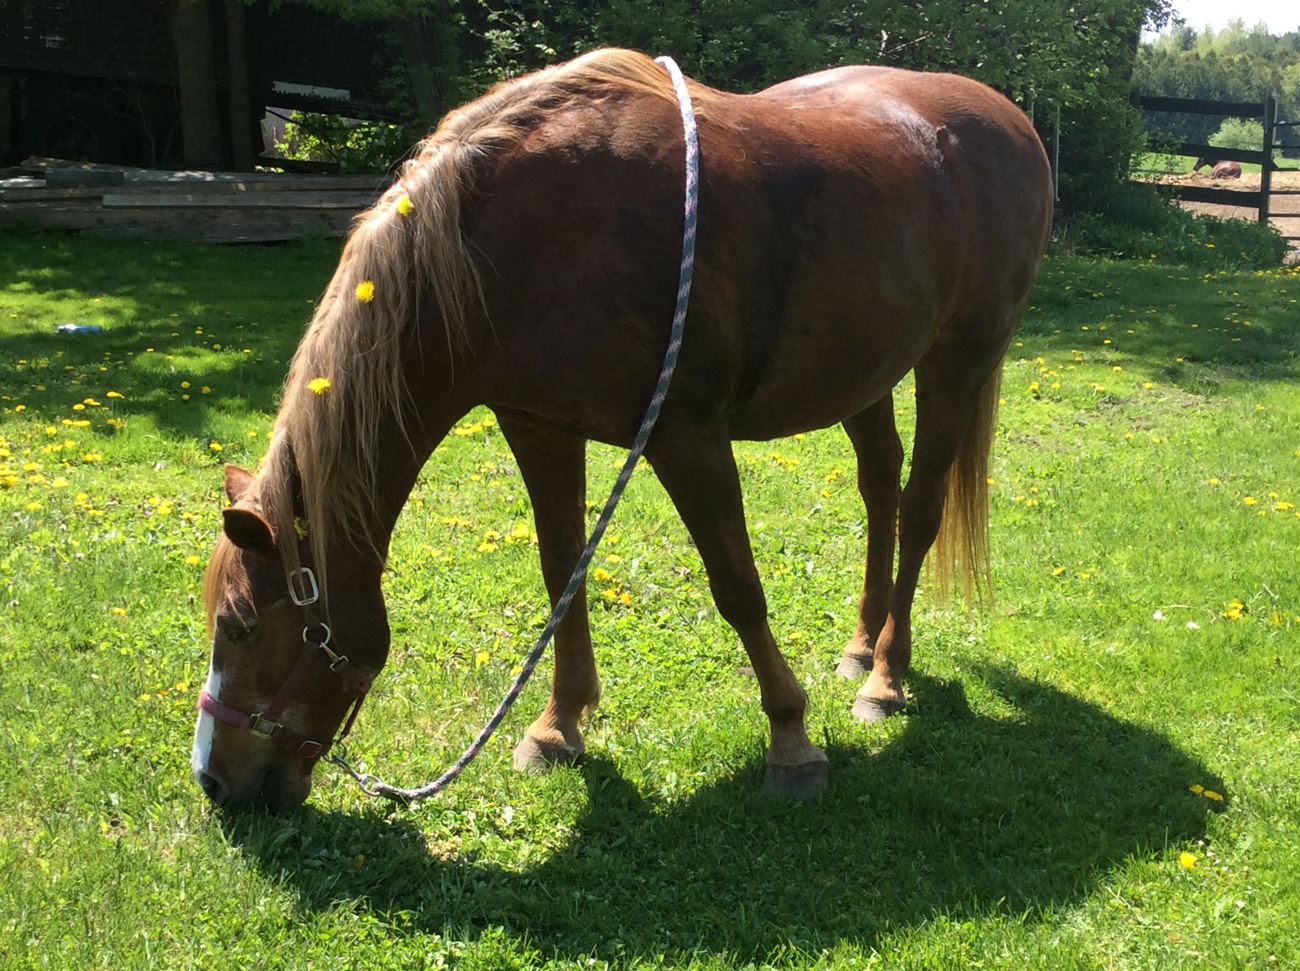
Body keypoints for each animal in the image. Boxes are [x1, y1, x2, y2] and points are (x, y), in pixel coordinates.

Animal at [195, 51, 1055, 811]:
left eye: (238, 626)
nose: (214, 782)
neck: (524, 243)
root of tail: (1010, 118)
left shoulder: (687, 435)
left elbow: (737, 587)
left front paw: (790, 739)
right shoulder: (538, 427)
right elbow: (560, 573)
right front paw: (557, 726)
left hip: (957, 359)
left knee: (919, 506)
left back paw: (886, 675)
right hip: (863, 371)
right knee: (879, 486)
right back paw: (859, 645)